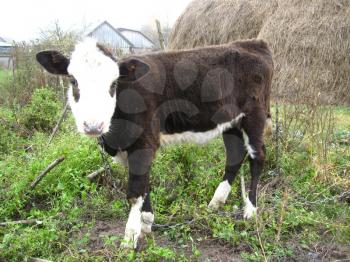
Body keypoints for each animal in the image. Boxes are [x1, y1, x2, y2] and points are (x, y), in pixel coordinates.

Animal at [37, 37, 274, 249]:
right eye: (73, 81)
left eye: (113, 83)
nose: (93, 125)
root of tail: (254, 43)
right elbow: (143, 184)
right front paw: (146, 223)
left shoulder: (144, 142)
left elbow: (134, 192)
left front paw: (130, 238)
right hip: (230, 120)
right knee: (235, 155)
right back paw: (215, 203)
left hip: (254, 115)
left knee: (257, 157)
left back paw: (251, 210)